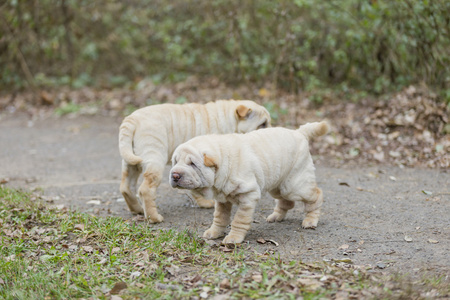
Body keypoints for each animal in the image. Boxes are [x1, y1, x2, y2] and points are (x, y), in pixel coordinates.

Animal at [118, 100, 270, 223]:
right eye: (262, 124)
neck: (229, 119)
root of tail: (131, 120)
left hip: (130, 163)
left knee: (126, 187)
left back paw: (138, 209)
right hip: (154, 159)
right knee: (145, 190)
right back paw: (154, 218)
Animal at [171, 121, 328, 244]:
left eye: (192, 164)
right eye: (175, 161)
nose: (174, 175)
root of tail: (299, 133)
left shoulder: (248, 196)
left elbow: (239, 220)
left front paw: (233, 238)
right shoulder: (222, 200)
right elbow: (220, 217)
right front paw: (214, 232)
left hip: (294, 185)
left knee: (316, 195)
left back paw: (310, 221)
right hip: (278, 184)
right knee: (286, 201)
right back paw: (276, 216)